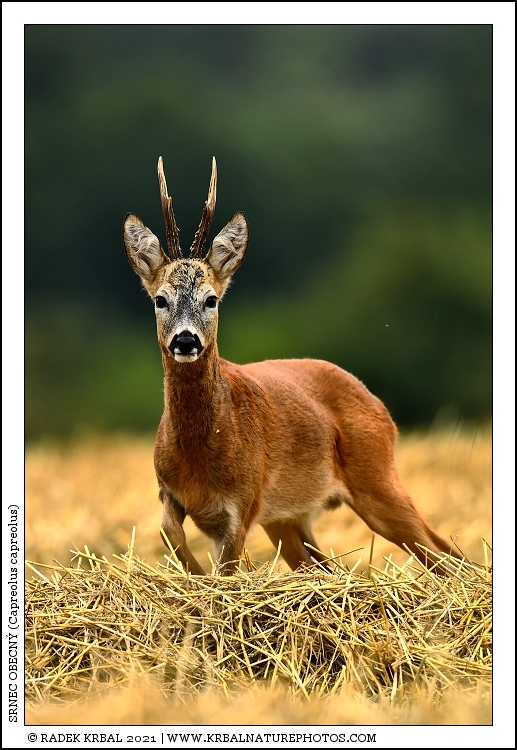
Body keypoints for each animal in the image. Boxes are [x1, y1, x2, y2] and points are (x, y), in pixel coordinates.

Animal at [122, 157, 457, 576]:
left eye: (211, 299)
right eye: (160, 299)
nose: (186, 341)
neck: (201, 453)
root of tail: (380, 407)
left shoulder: (244, 502)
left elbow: (226, 568)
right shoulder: (170, 490)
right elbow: (170, 535)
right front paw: (194, 577)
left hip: (378, 479)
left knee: (442, 552)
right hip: (287, 518)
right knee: (326, 567)